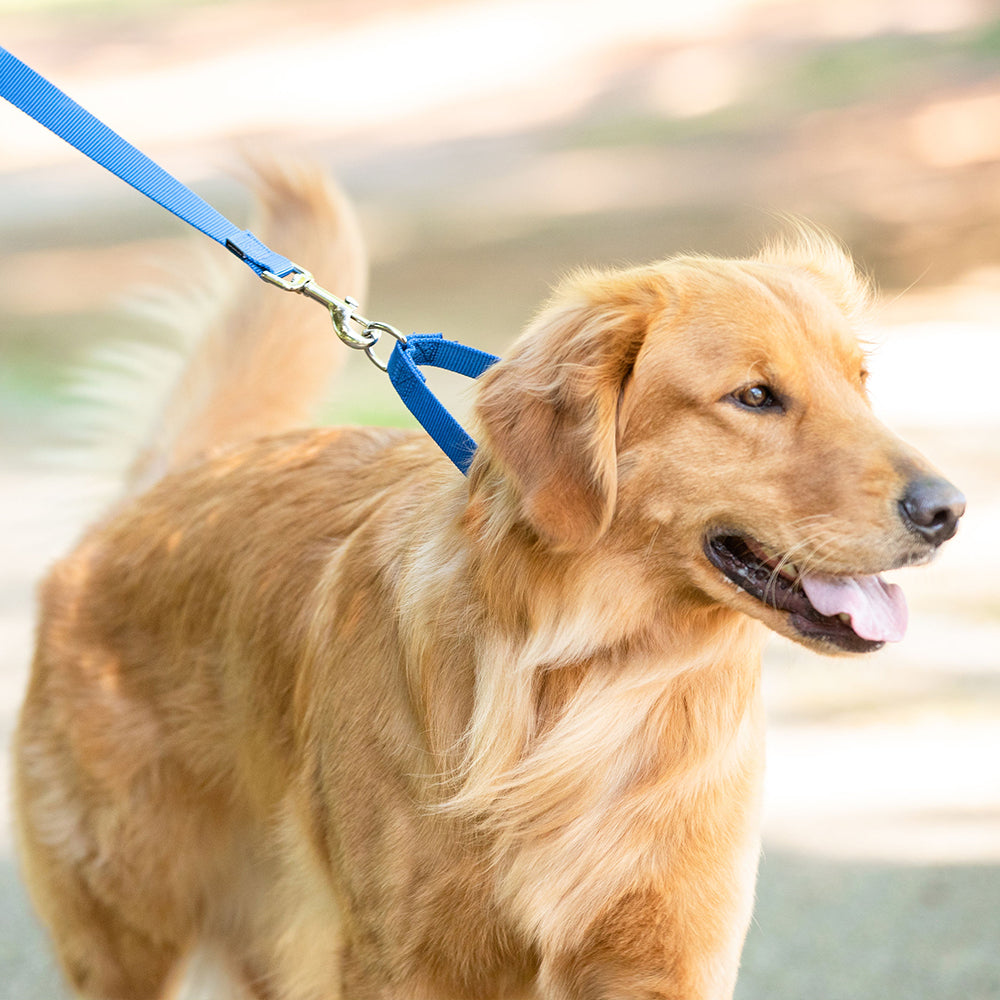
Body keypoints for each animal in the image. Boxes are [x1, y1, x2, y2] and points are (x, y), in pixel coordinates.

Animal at [13, 164, 960, 1000]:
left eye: (861, 383)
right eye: (755, 397)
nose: (947, 510)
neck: (592, 677)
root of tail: (157, 491)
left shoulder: (669, 955)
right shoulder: (402, 960)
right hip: (133, 936)